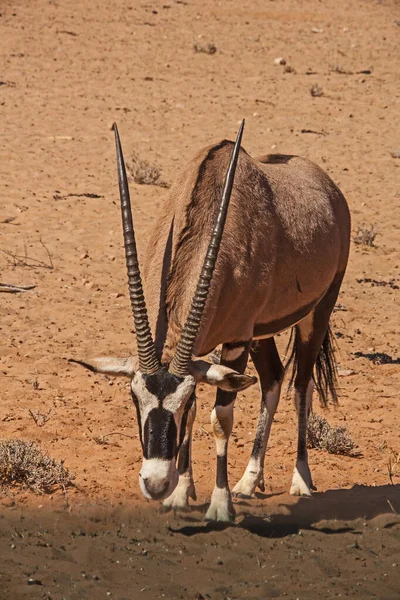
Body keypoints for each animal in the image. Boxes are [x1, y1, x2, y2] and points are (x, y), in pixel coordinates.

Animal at [72, 120, 350, 520]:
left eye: (184, 401)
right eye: (133, 397)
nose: (155, 483)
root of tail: (328, 187)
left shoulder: (234, 342)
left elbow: (221, 419)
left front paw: (219, 504)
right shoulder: (211, 353)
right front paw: (180, 493)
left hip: (317, 312)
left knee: (301, 387)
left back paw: (301, 480)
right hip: (262, 332)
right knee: (273, 379)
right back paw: (249, 481)